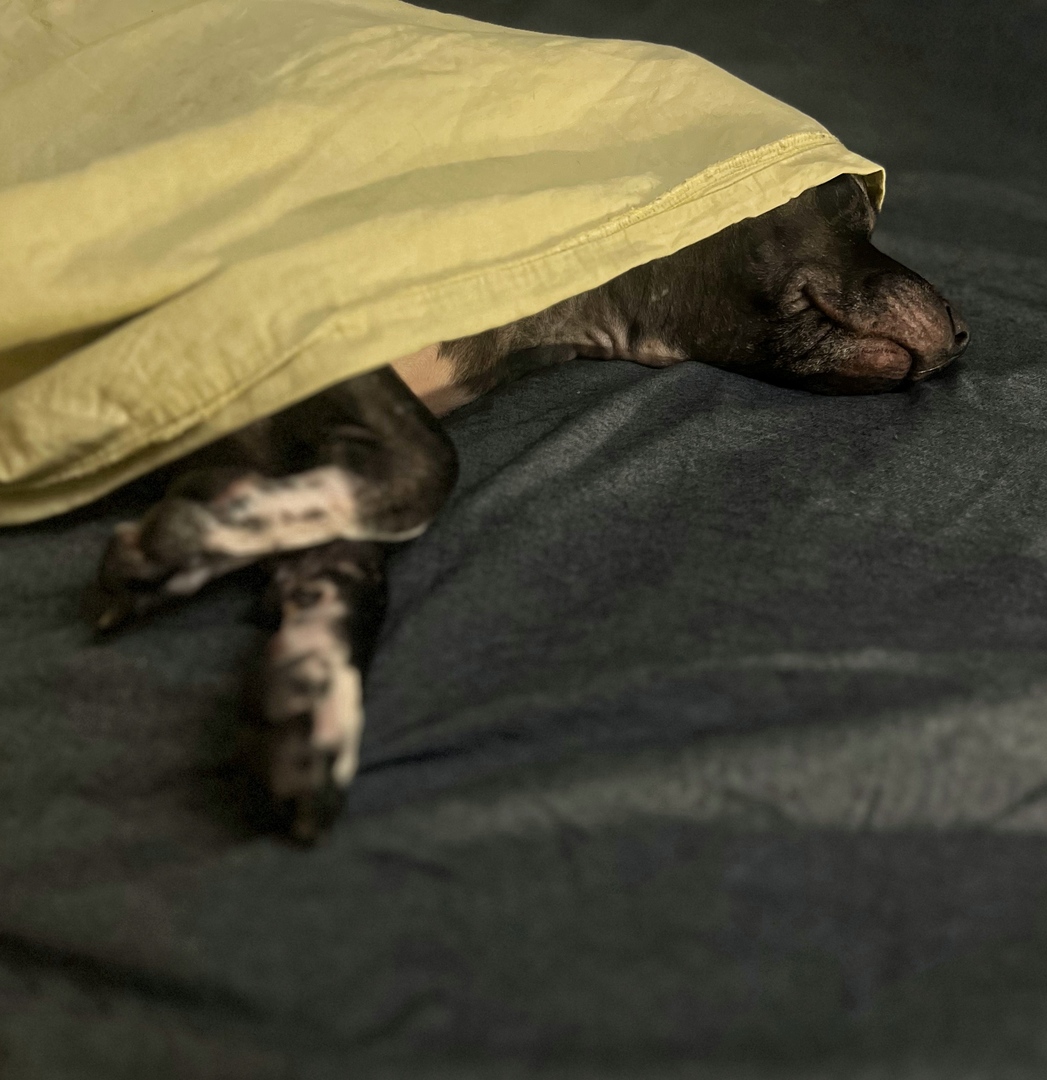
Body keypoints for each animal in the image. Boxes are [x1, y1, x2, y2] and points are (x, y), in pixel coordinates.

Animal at [93, 173, 969, 840]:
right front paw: (188, 542)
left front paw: (310, 695)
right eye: (851, 199)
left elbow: (350, 557)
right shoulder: (292, 332)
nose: (964, 332)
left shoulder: (274, 423)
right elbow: (428, 468)